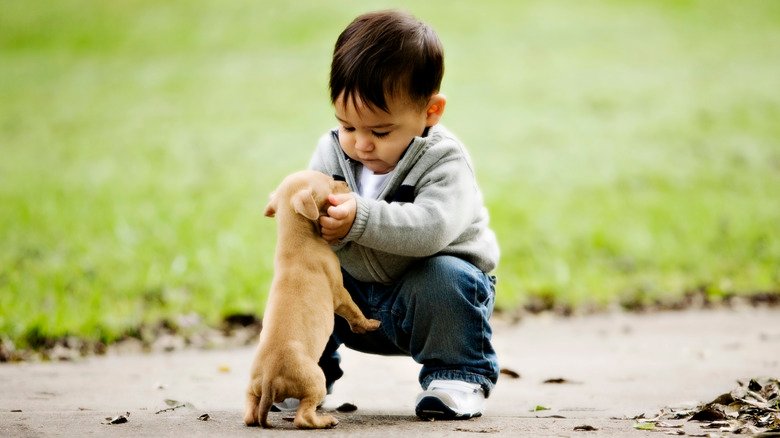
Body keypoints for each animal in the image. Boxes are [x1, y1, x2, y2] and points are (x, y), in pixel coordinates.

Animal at [242, 170, 380, 428]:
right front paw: (368, 324)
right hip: (315, 380)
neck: (296, 238)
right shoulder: (339, 293)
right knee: (303, 417)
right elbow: (354, 310)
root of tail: (269, 379)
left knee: (250, 415)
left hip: (252, 388)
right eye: (329, 181)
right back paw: (326, 421)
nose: (344, 181)